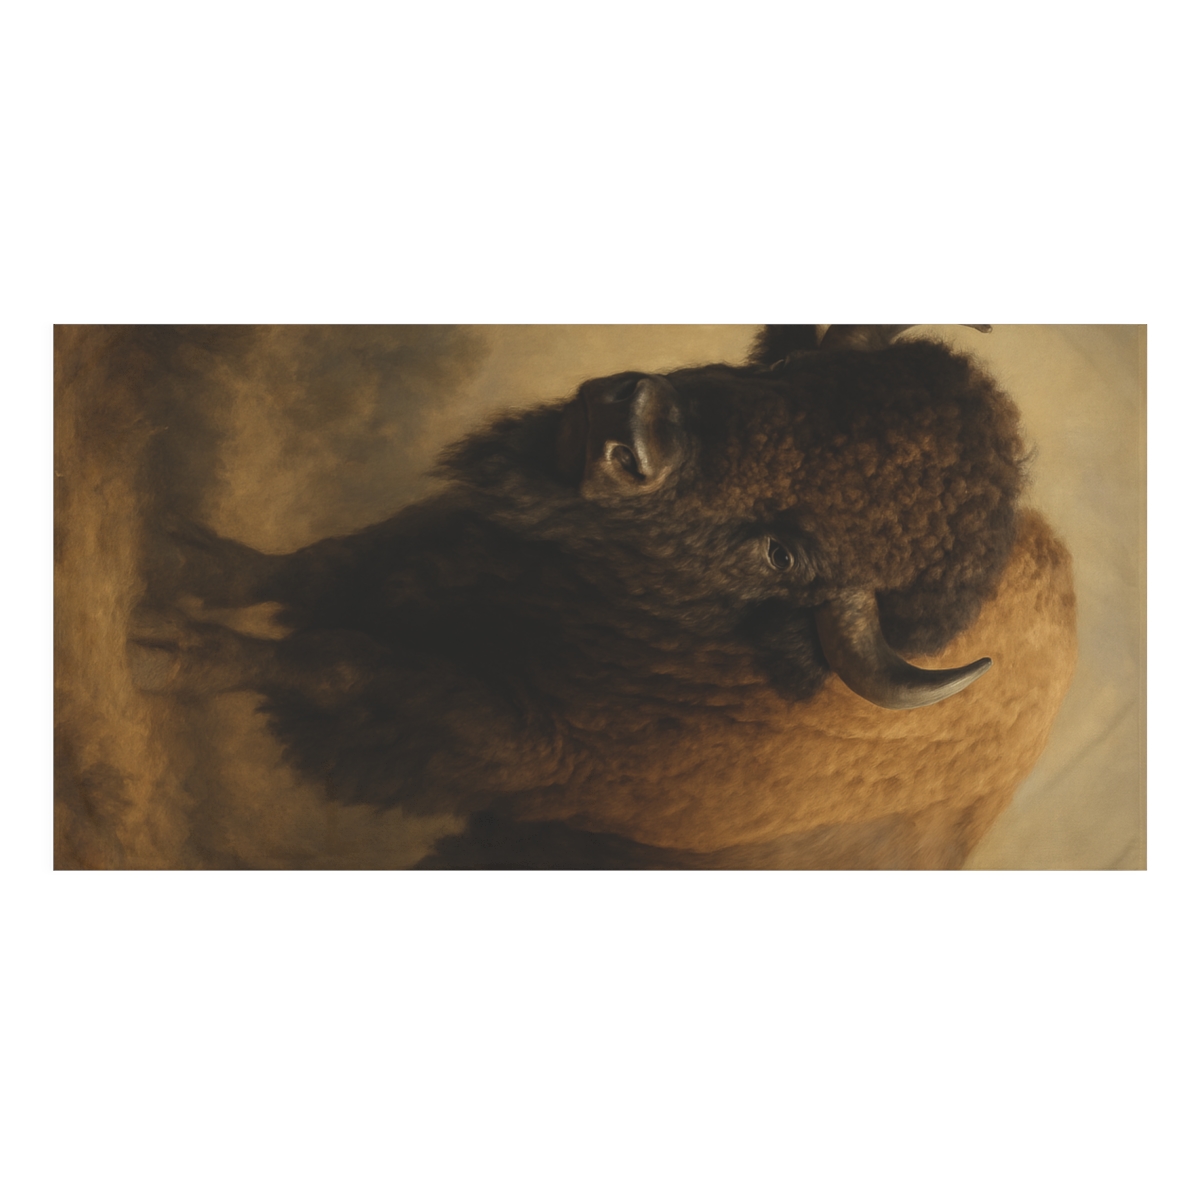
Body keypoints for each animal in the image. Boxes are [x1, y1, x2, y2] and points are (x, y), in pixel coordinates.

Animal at [131, 324, 1077, 869]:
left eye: (786, 550)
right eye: (800, 368)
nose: (628, 427)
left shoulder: (497, 732)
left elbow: (331, 659)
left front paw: (163, 653)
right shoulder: (436, 547)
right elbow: (295, 569)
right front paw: (174, 556)